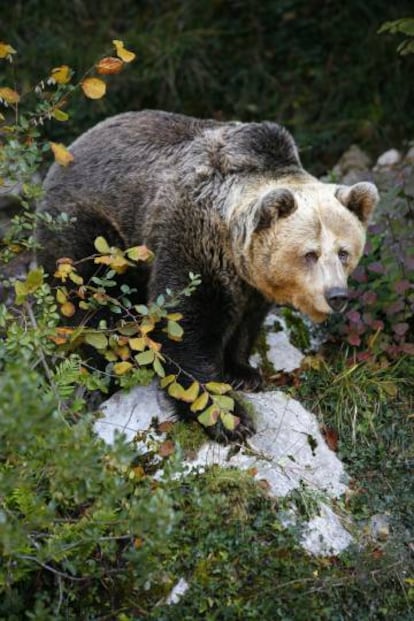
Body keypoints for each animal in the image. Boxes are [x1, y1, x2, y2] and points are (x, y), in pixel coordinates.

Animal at [37, 111, 380, 440]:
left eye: (344, 252)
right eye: (310, 253)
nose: (336, 295)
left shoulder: (250, 281)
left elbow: (245, 323)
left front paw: (244, 373)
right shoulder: (194, 242)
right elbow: (184, 329)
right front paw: (230, 419)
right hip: (91, 232)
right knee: (92, 304)